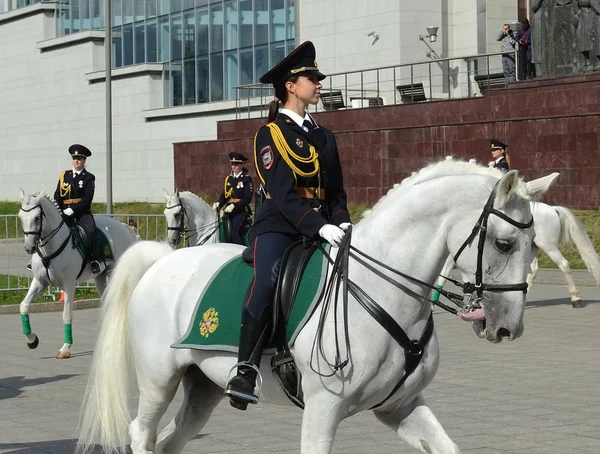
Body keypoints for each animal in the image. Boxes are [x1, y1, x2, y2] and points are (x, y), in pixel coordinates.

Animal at [16, 189, 139, 358]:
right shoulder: (40, 282)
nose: (29, 248)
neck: (50, 249)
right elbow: (24, 306)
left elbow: (67, 314)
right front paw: (31, 340)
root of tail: (123, 226)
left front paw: (65, 348)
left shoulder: (68, 284)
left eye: (37, 217)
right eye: (20, 217)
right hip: (100, 277)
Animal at [77, 160, 556, 454]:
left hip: (202, 386)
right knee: (142, 433)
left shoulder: (400, 406)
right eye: (504, 243)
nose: (508, 328)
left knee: (170, 440)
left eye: (536, 243)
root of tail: (163, 259)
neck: (381, 290)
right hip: (159, 379)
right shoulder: (324, 409)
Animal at [436, 201, 600, 308]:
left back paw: (575, 298)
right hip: (532, 248)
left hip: (549, 247)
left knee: (563, 265)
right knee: (532, 271)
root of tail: (553, 209)